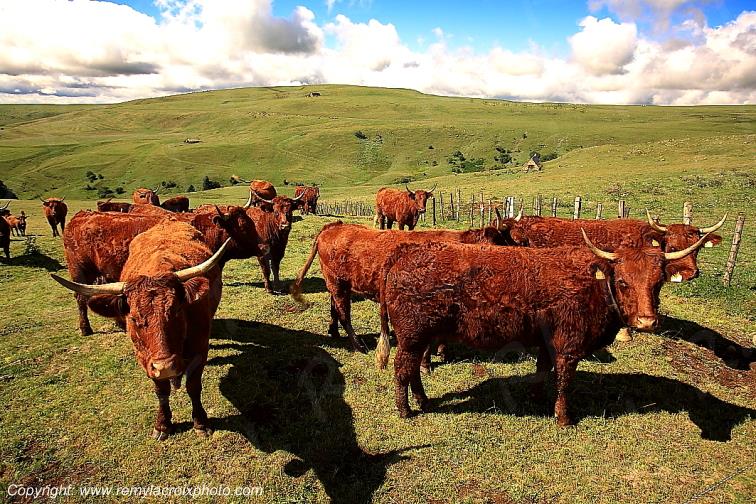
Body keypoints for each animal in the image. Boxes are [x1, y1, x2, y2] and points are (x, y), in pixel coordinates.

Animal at [52, 221, 231, 440]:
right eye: (134, 319)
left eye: (177, 310)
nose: (166, 367)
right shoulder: (145, 359)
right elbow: (161, 391)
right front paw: (162, 425)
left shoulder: (200, 349)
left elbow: (193, 387)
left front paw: (200, 422)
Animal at [63, 205, 264, 336]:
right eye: (244, 227)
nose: (264, 247)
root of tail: (79, 216)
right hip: (80, 272)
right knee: (81, 298)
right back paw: (85, 329)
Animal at [290, 221, 515, 353]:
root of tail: (333, 226)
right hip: (337, 283)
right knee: (344, 314)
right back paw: (358, 345)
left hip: (337, 283)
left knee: (334, 308)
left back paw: (334, 331)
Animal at [375, 231, 712, 424]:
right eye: (623, 281)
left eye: (658, 283)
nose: (647, 321)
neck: (593, 283)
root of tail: (403, 254)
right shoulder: (569, 345)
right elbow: (563, 380)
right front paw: (563, 417)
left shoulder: (547, 340)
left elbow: (541, 370)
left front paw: (537, 397)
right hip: (412, 336)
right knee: (403, 369)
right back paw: (406, 410)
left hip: (420, 337)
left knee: (413, 369)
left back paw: (423, 400)